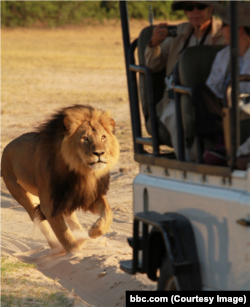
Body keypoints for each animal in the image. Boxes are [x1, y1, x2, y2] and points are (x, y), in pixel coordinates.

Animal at [0, 105, 119, 253]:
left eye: (103, 137)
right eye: (85, 138)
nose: (99, 153)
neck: (80, 171)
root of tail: (6, 148)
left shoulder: (88, 195)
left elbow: (108, 212)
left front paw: (94, 232)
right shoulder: (50, 206)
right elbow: (65, 235)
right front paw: (75, 253)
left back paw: (85, 238)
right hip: (25, 197)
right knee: (44, 227)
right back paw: (57, 247)